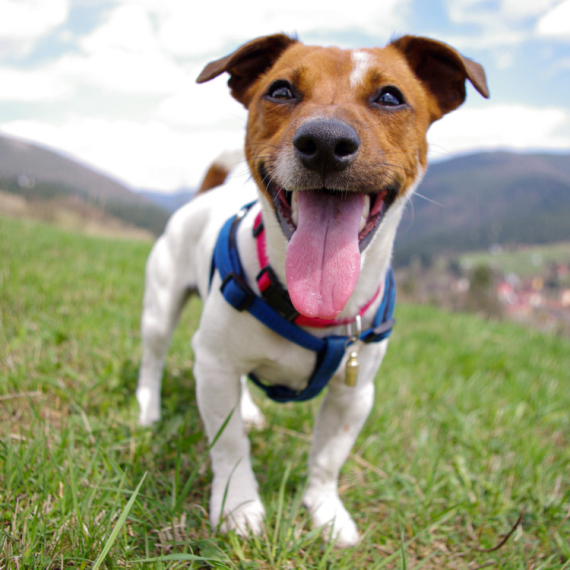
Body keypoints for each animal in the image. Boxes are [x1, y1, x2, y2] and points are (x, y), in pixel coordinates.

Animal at [135, 32, 486, 544]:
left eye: (390, 96)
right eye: (280, 90)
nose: (324, 142)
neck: (311, 309)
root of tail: (204, 196)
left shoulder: (354, 394)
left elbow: (327, 458)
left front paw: (325, 510)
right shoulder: (216, 365)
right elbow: (230, 446)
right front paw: (238, 504)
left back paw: (248, 410)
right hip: (161, 309)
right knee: (154, 359)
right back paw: (148, 408)